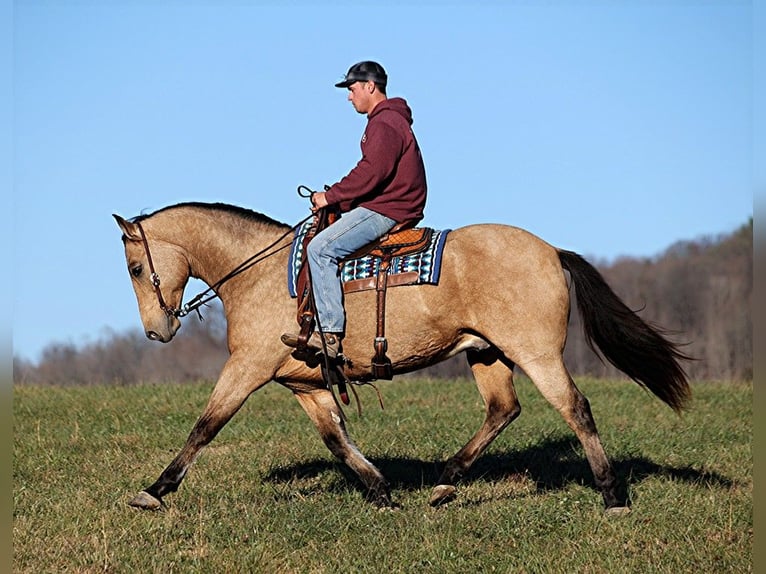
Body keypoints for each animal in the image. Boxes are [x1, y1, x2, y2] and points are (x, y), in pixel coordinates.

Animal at [112, 204, 688, 516]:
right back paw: (446, 482)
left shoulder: (246, 369)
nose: (156, 330)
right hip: (487, 354)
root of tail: (550, 251)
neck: (261, 274)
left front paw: (154, 491)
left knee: (575, 408)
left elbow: (205, 427)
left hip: (537, 354)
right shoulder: (306, 385)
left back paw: (612, 495)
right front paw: (381, 491)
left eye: (137, 268)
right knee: (503, 410)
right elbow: (337, 441)